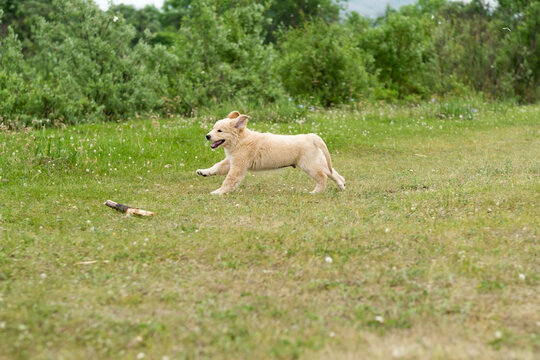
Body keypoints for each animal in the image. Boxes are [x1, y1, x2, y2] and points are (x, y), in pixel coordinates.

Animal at [195, 110, 346, 194]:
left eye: (219, 131)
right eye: (213, 128)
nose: (207, 136)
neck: (240, 140)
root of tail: (311, 136)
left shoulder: (238, 166)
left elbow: (229, 180)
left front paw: (218, 192)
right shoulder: (231, 161)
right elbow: (217, 166)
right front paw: (204, 172)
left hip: (309, 165)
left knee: (322, 177)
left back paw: (316, 192)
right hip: (320, 162)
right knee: (335, 174)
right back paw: (341, 185)